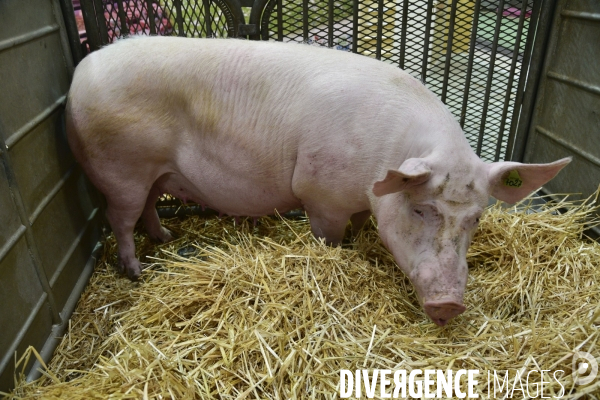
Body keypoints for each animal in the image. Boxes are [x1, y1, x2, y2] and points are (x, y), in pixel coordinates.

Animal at [65, 36, 568, 326]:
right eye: (420, 208)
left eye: (476, 219)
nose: (450, 304)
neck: (383, 160)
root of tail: (80, 72)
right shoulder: (320, 196)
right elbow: (328, 239)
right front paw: (335, 256)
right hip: (122, 170)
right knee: (120, 219)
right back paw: (136, 271)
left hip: (153, 172)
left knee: (149, 207)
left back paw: (166, 237)